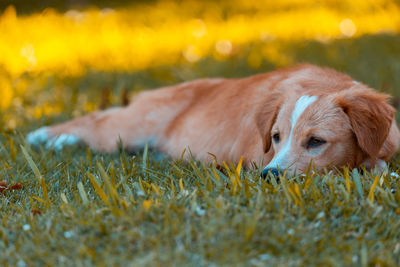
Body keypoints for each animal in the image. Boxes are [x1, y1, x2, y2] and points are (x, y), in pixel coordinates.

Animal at [26, 63, 398, 177]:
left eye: (316, 142)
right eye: (276, 137)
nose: (269, 177)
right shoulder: (256, 155)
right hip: (123, 130)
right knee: (93, 121)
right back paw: (46, 135)